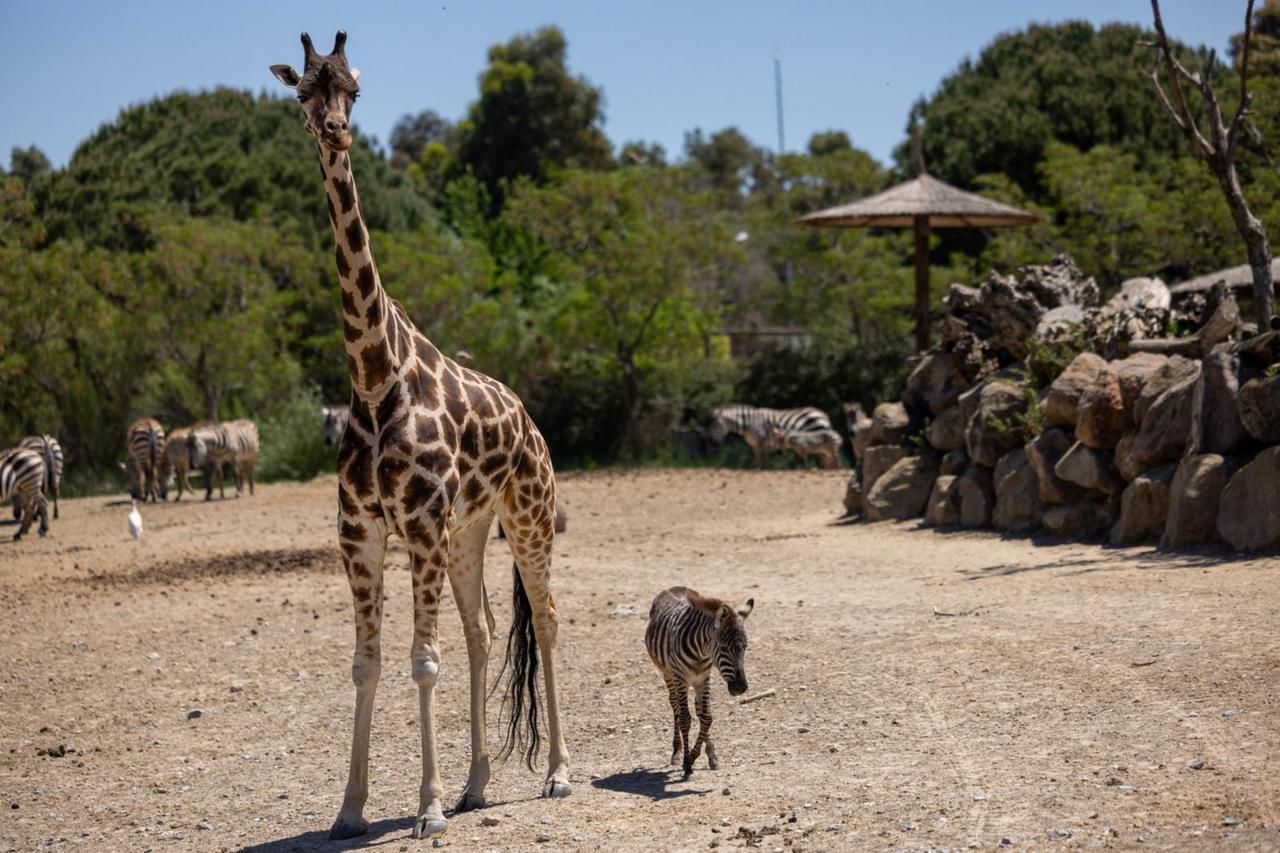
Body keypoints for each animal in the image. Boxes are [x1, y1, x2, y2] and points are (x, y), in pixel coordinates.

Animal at [270, 32, 571, 841]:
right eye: (304, 90)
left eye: (354, 88)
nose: (336, 131)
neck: (376, 380)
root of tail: (530, 420)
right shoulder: (362, 532)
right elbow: (368, 663)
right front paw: (350, 809)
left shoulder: (421, 525)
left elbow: (421, 660)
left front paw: (426, 807)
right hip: (468, 534)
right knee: (485, 630)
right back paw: (476, 784)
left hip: (528, 517)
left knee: (546, 621)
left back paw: (558, 773)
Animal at [644, 586, 754, 776]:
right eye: (724, 647)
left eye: (745, 647)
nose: (740, 687)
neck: (701, 652)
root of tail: (673, 588)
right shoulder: (680, 678)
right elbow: (685, 719)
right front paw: (687, 763)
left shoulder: (703, 679)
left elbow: (707, 717)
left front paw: (699, 756)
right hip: (667, 673)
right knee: (675, 706)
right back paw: (676, 752)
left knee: (698, 710)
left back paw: (710, 754)